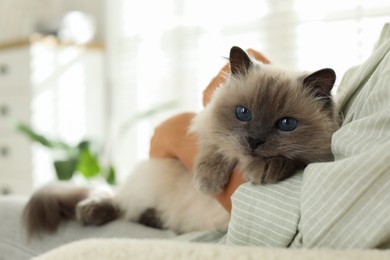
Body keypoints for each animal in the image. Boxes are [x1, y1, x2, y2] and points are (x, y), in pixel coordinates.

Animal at [22, 45, 340, 237]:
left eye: (286, 124)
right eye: (243, 113)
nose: (254, 141)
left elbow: (295, 159)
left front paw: (268, 168)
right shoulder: (205, 125)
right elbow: (214, 144)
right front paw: (208, 182)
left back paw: (150, 219)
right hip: (150, 178)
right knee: (118, 200)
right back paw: (91, 212)